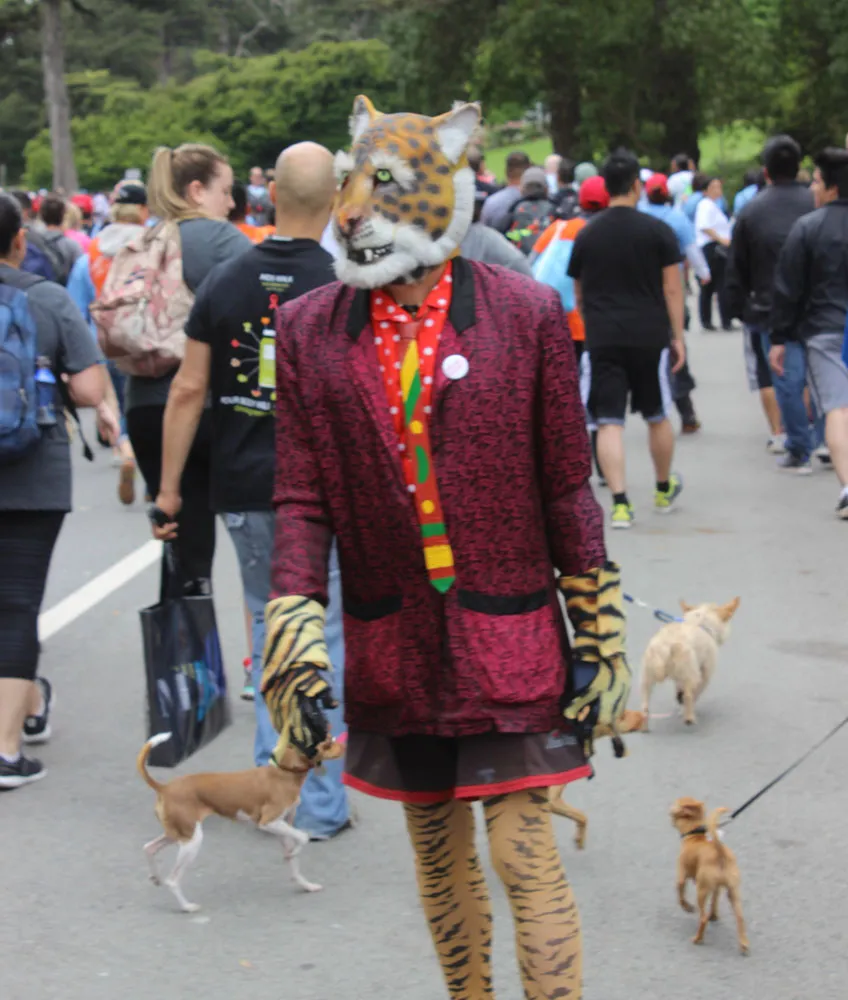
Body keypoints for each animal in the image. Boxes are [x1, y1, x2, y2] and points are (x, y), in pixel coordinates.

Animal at [137, 732, 344, 912]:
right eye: (327, 742)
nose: (343, 744)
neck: (284, 772)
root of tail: (164, 788)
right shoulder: (268, 822)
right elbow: (303, 837)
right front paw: (295, 853)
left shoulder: (282, 827)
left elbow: (294, 864)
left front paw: (305, 884)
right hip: (192, 841)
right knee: (172, 880)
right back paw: (187, 907)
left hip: (178, 834)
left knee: (149, 848)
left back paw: (156, 877)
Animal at [640, 597, 740, 728]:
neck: (699, 622)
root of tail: (666, 646)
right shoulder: (705, 674)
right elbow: (694, 693)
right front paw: (684, 705)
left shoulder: (681, 677)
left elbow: (679, 688)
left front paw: (679, 697)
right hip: (691, 674)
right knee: (689, 696)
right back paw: (689, 718)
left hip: (648, 675)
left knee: (645, 702)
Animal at [670, 797, 749, 954]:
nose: (669, 810)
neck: (695, 835)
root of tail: (719, 851)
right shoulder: (717, 887)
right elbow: (715, 901)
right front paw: (714, 915)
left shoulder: (681, 877)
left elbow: (680, 895)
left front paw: (687, 907)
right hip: (733, 891)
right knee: (740, 917)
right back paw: (744, 944)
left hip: (701, 891)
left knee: (703, 918)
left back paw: (697, 939)